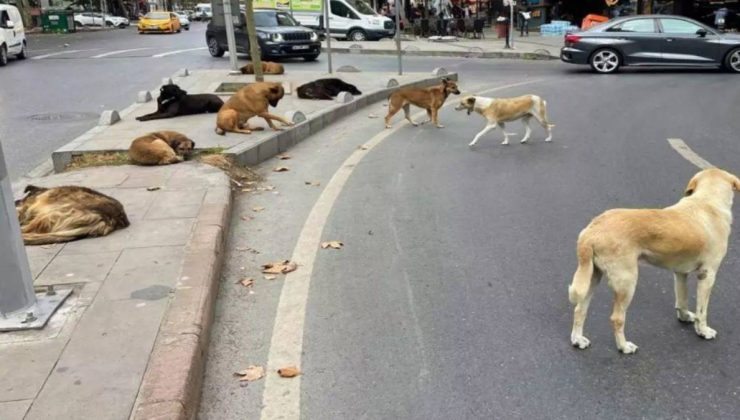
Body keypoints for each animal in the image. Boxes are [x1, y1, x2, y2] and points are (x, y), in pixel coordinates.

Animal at [568, 167, 736, 354]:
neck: (707, 201)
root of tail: (592, 230)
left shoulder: (680, 273)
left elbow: (682, 300)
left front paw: (684, 317)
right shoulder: (707, 275)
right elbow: (702, 311)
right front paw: (703, 331)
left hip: (592, 277)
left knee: (579, 309)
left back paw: (578, 340)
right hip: (627, 283)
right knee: (616, 318)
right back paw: (624, 346)